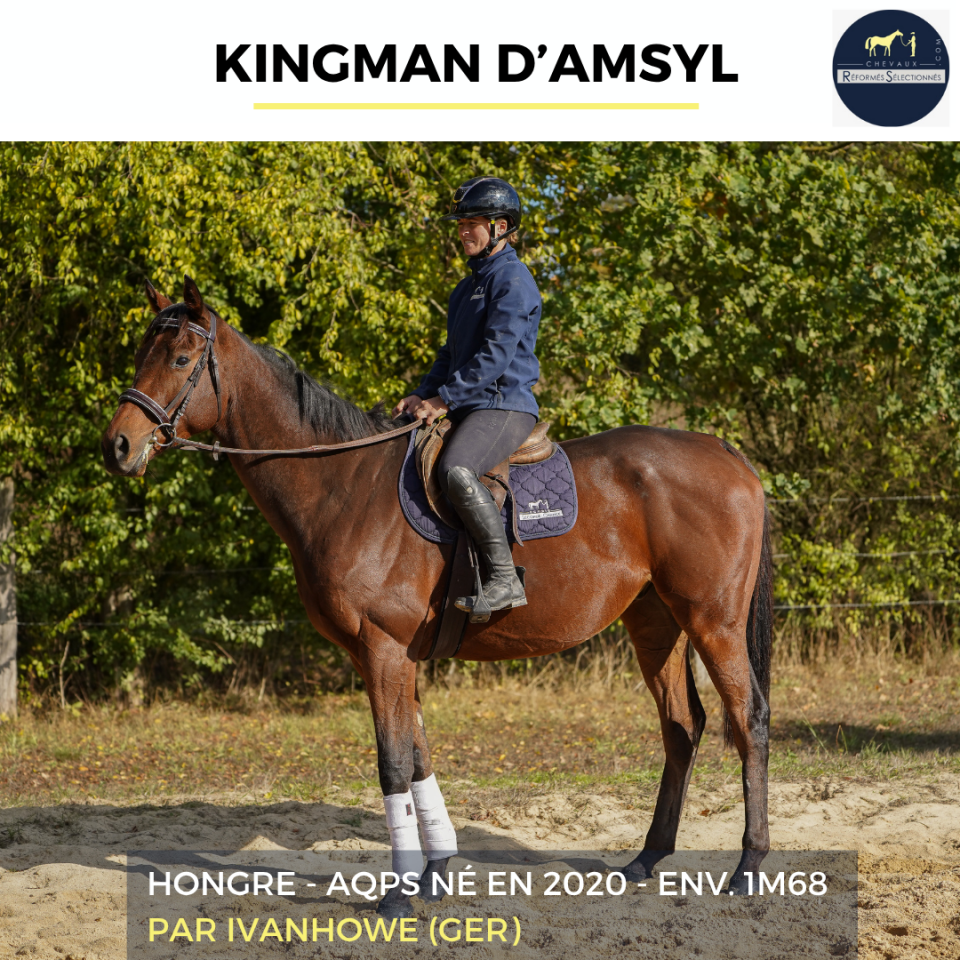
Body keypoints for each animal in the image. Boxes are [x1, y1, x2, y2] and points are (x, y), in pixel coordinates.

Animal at [102, 276, 773, 917]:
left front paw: (399, 893)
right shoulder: (390, 658)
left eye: (182, 358)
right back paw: (648, 858)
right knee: (681, 727)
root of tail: (725, 452)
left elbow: (393, 763)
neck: (343, 488)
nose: (118, 446)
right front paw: (434, 874)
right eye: (140, 355)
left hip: (713, 622)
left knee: (749, 720)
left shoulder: (383, 651)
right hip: (657, 624)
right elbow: (420, 758)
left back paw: (749, 866)